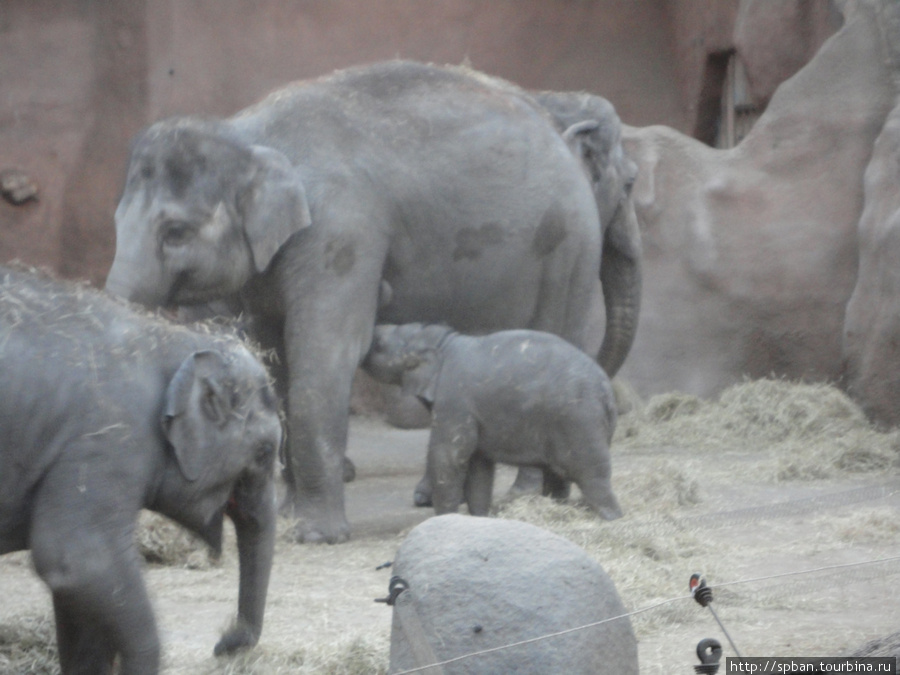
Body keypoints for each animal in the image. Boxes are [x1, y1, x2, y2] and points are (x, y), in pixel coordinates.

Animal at [0, 266, 282, 672]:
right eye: (264, 452)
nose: (224, 641)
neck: (170, 338)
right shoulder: (108, 442)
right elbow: (78, 558)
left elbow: (76, 599)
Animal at [362, 324, 624, 520]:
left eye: (378, 344)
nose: (372, 330)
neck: (443, 342)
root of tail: (608, 393)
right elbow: (479, 465)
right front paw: (480, 518)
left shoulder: (455, 401)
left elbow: (450, 456)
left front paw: (446, 519)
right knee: (558, 475)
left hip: (580, 422)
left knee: (592, 477)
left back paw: (612, 518)